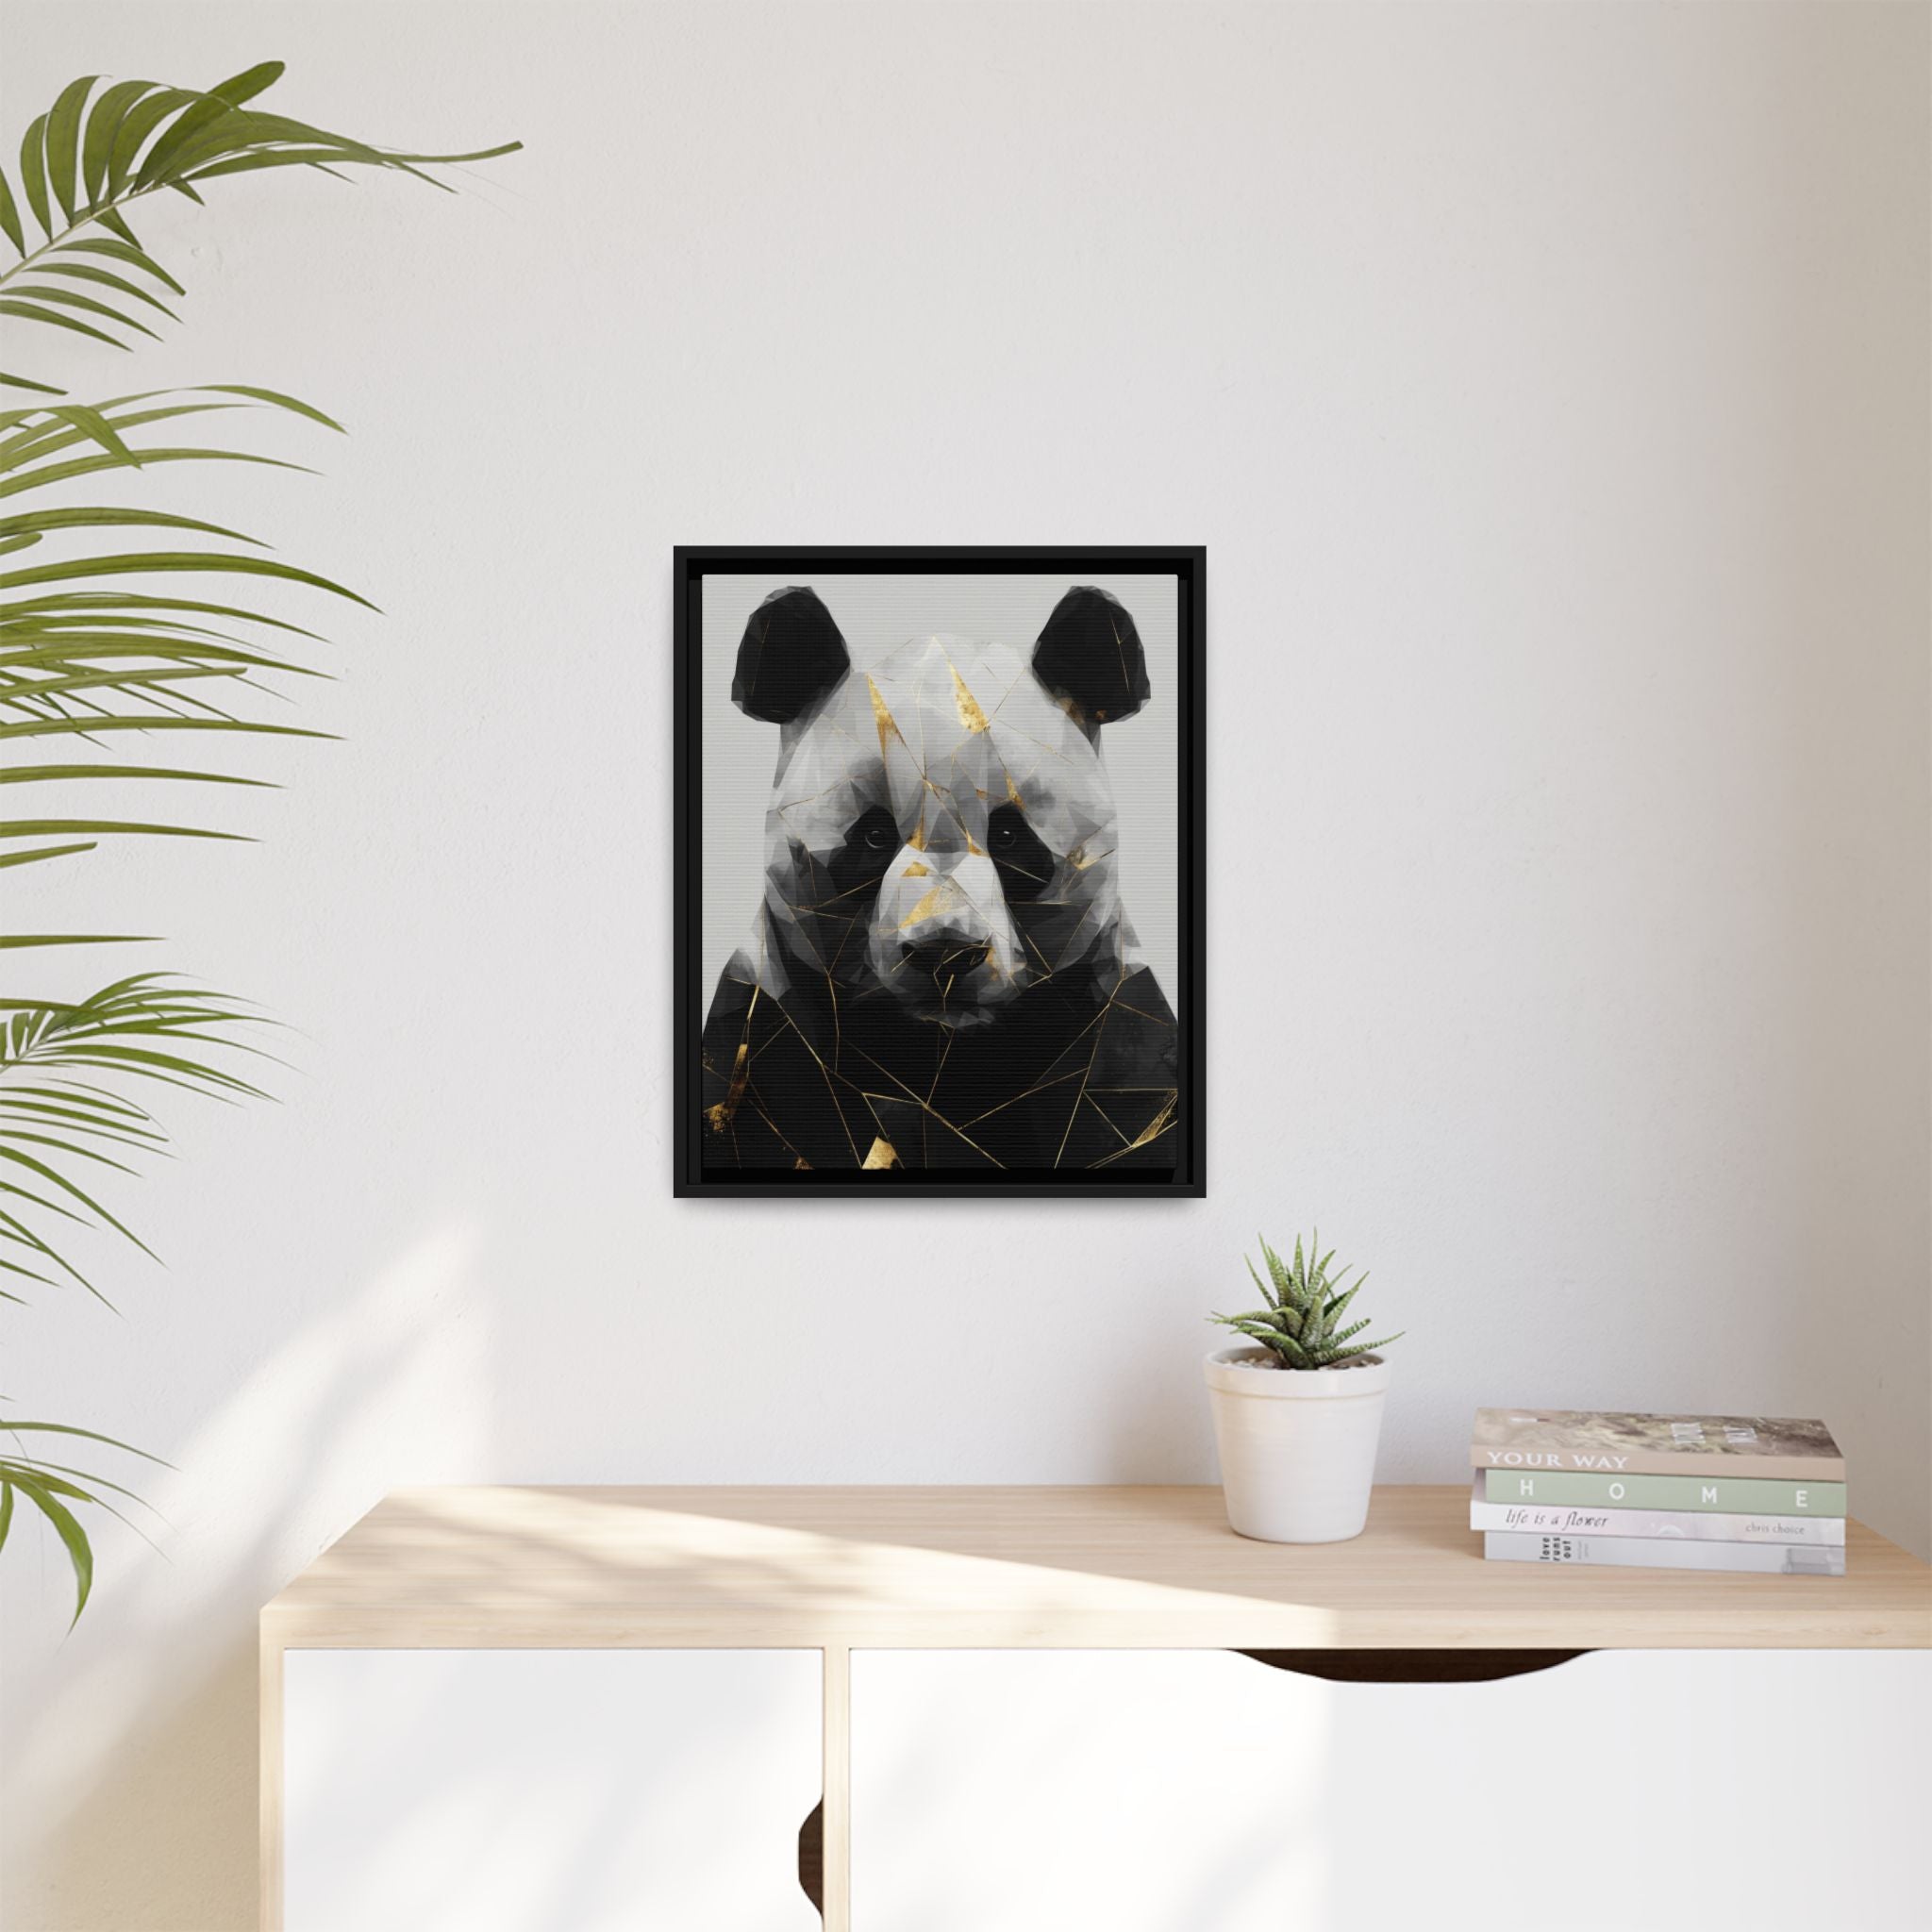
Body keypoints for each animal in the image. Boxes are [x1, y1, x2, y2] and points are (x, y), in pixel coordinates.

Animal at [700, 583, 1178, 1173]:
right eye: (874, 835)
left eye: (1009, 836)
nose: (945, 953)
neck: (942, 1060)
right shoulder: (762, 1040)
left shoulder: (1119, 1043)